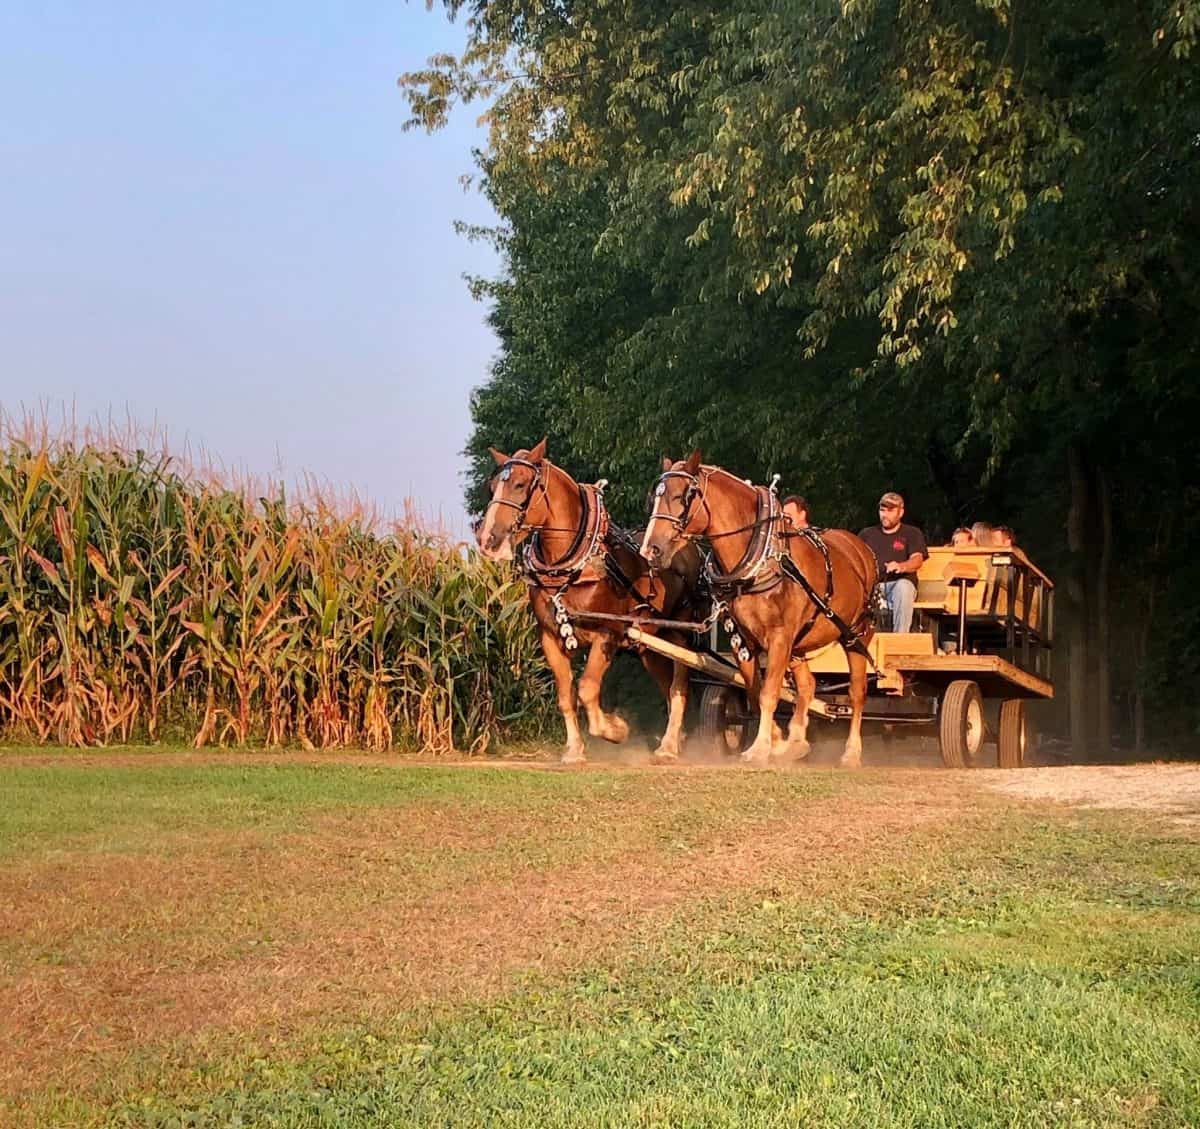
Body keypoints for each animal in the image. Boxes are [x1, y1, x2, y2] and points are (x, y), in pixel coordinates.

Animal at [475, 441, 700, 767]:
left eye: (519, 484)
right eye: (493, 487)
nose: (486, 538)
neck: (574, 568)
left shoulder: (608, 634)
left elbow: (587, 688)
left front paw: (615, 729)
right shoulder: (549, 638)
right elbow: (566, 695)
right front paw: (573, 750)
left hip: (681, 632)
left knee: (679, 685)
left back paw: (669, 746)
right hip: (650, 645)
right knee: (665, 685)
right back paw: (677, 739)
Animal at [643, 448, 878, 767]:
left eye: (683, 496)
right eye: (655, 497)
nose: (650, 549)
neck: (761, 559)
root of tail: (860, 548)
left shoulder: (779, 637)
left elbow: (769, 692)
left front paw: (759, 749)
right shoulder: (743, 640)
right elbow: (755, 690)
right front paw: (778, 742)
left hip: (856, 635)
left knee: (857, 692)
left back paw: (851, 752)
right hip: (800, 645)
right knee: (808, 686)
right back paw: (797, 743)